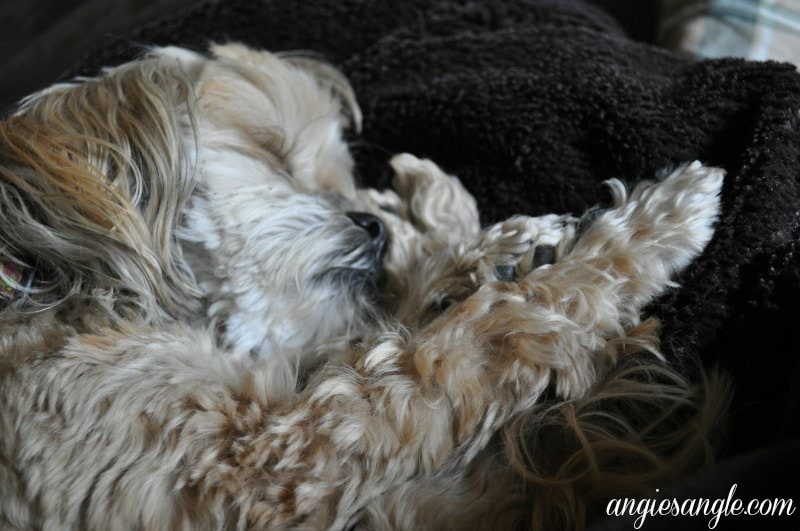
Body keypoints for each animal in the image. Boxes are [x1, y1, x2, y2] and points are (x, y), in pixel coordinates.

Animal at [0, 43, 724, 528]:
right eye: (271, 150)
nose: (371, 225)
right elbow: (468, 340)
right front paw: (651, 229)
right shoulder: (265, 464)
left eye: (338, 178)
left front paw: (471, 237)